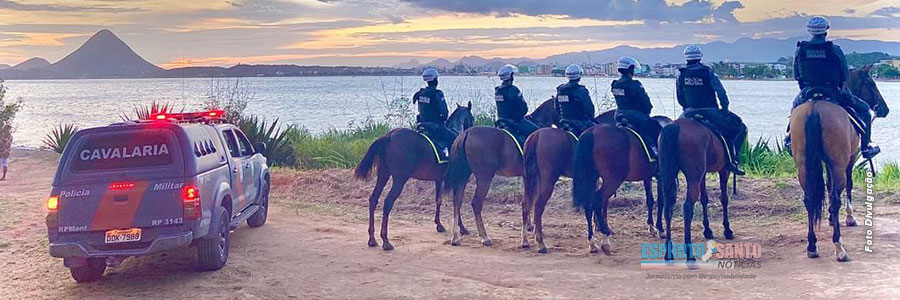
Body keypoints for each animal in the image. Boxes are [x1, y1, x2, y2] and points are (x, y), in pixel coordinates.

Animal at [354, 103, 474, 251]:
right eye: (472, 117)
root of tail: (389, 135)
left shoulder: (439, 179)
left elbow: (438, 200)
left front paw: (439, 224)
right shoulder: (457, 179)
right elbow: (457, 202)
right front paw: (462, 228)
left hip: (383, 174)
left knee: (373, 199)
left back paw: (372, 239)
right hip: (399, 179)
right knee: (387, 203)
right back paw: (385, 241)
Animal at [444, 98, 560, 246]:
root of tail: (467, 133)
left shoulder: (527, 177)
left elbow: (528, 199)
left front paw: (529, 226)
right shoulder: (534, 177)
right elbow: (531, 200)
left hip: (464, 175)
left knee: (457, 201)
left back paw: (455, 237)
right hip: (484, 178)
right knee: (476, 203)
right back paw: (485, 237)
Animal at [572, 113, 672, 254]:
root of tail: (591, 132)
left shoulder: (648, 176)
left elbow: (650, 200)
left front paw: (652, 227)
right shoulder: (662, 176)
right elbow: (661, 201)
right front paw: (661, 230)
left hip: (592, 177)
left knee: (589, 202)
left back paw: (592, 242)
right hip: (613, 179)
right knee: (598, 200)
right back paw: (605, 239)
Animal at [656, 118, 736, 264]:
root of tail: (675, 126)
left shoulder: (703, 174)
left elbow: (704, 198)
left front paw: (708, 230)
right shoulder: (724, 170)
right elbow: (724, 199)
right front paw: (727, 230)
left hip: (669, 176)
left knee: (668, 207)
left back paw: (669, 252)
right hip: (694, 178)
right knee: (687, 207)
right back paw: (689, 252)